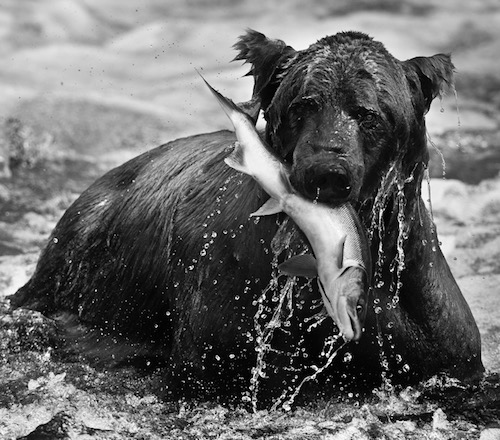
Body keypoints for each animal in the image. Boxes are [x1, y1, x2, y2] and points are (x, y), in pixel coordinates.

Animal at [10, 30, 480, 406]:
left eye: (369, 115)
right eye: (304, 105)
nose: (326, 172)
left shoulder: (426, 331)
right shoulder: (227, 306)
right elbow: (217, 363)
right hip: (81, 274)